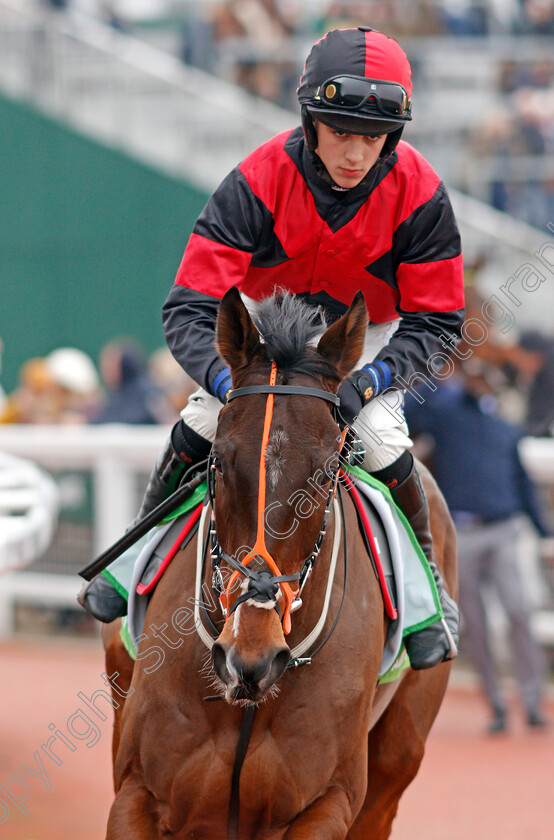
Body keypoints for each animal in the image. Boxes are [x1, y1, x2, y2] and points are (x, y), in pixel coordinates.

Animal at [101, 290, 454, 840]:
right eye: (218, 463)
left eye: (328, 472)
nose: (251, 657)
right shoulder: (137, 792)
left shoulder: (327, 805)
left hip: (393, 767)